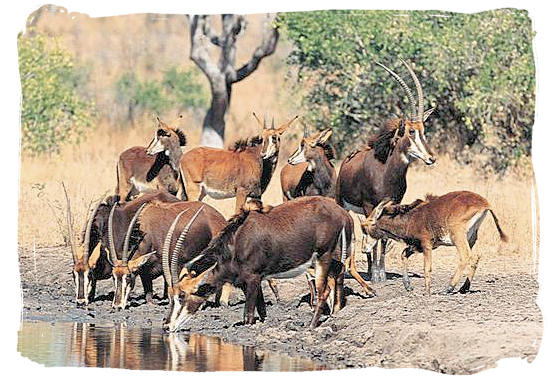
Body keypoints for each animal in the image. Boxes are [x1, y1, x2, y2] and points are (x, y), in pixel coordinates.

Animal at [147, 111, 300, 213]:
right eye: (262, 138)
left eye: (274, 137)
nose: (264, 154)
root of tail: (183, 158)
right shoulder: (241, 192)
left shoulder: (256, 195)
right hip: (194, 189)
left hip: (200, 192)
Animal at [162, 195, 378, 330]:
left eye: (182, 296)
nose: (166, 326)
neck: (236, 242)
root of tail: (344, 215)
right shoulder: (251, 282)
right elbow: (262, 310)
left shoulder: (253, 279)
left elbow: (248, 316)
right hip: (333, 258)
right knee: (340, 273)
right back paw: (337, 311)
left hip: (322, 258)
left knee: (324, 289)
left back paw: (312, 324)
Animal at [336, 59, 440, 282]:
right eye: (411, 131)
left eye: (424, 131)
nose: (431, 158)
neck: (386, 173)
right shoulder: (369, 205)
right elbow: (374, 233)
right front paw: (376, 274)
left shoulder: (393, 203)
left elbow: (383, 236)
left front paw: (380, 272)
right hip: (343, 203)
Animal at [364, 190, 512, 294]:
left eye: (366, 227)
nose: (364, 248)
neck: (411, 218)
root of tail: (484, 203)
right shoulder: (417, 245)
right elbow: (403, 254)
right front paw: (408, 286)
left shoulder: (426, 244)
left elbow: (427, 267)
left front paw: (427, 291)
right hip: (471, 237)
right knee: (476, 257)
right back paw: (463, 288)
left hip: (457, 235)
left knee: (466, 256)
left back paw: (449, 288)